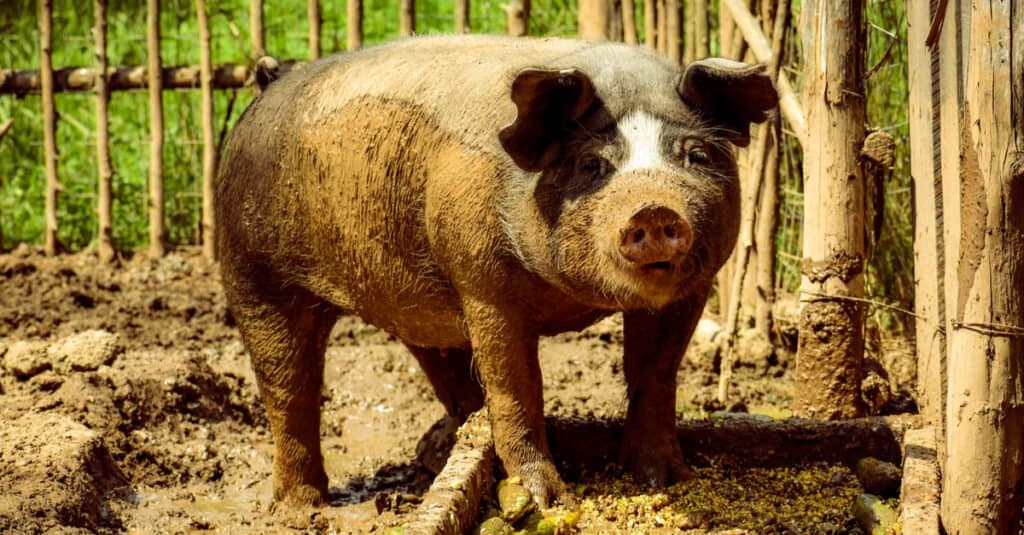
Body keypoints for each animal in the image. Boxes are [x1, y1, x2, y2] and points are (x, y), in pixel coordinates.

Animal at [216, 34, 774, 508]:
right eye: (592, 164)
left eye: (694, 155)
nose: (653, 210)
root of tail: (273, 80)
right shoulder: (483, 284)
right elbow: (516, 384)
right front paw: (550, 501)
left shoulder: (691, 290)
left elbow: (655, 375)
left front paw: (671, 481)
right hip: (251, 269)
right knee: (288, 386)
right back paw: (302, 509)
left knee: (448, 373)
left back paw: (436, 453)